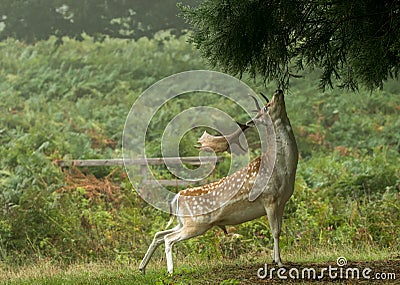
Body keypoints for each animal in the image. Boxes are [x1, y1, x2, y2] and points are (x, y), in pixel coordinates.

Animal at [139, 89, 298, 272]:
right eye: (267, 106)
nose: (278, 91)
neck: (284, 170)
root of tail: (177, 197)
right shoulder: (270, 199)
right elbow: (276, 232)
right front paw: (279, 262)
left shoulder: (282, 201)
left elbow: (278, 230)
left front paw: (274, 259)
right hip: (196, 223)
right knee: (168, 238)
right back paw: (170, 270)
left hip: (183, 221)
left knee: (159, 234)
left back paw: (142, 268)